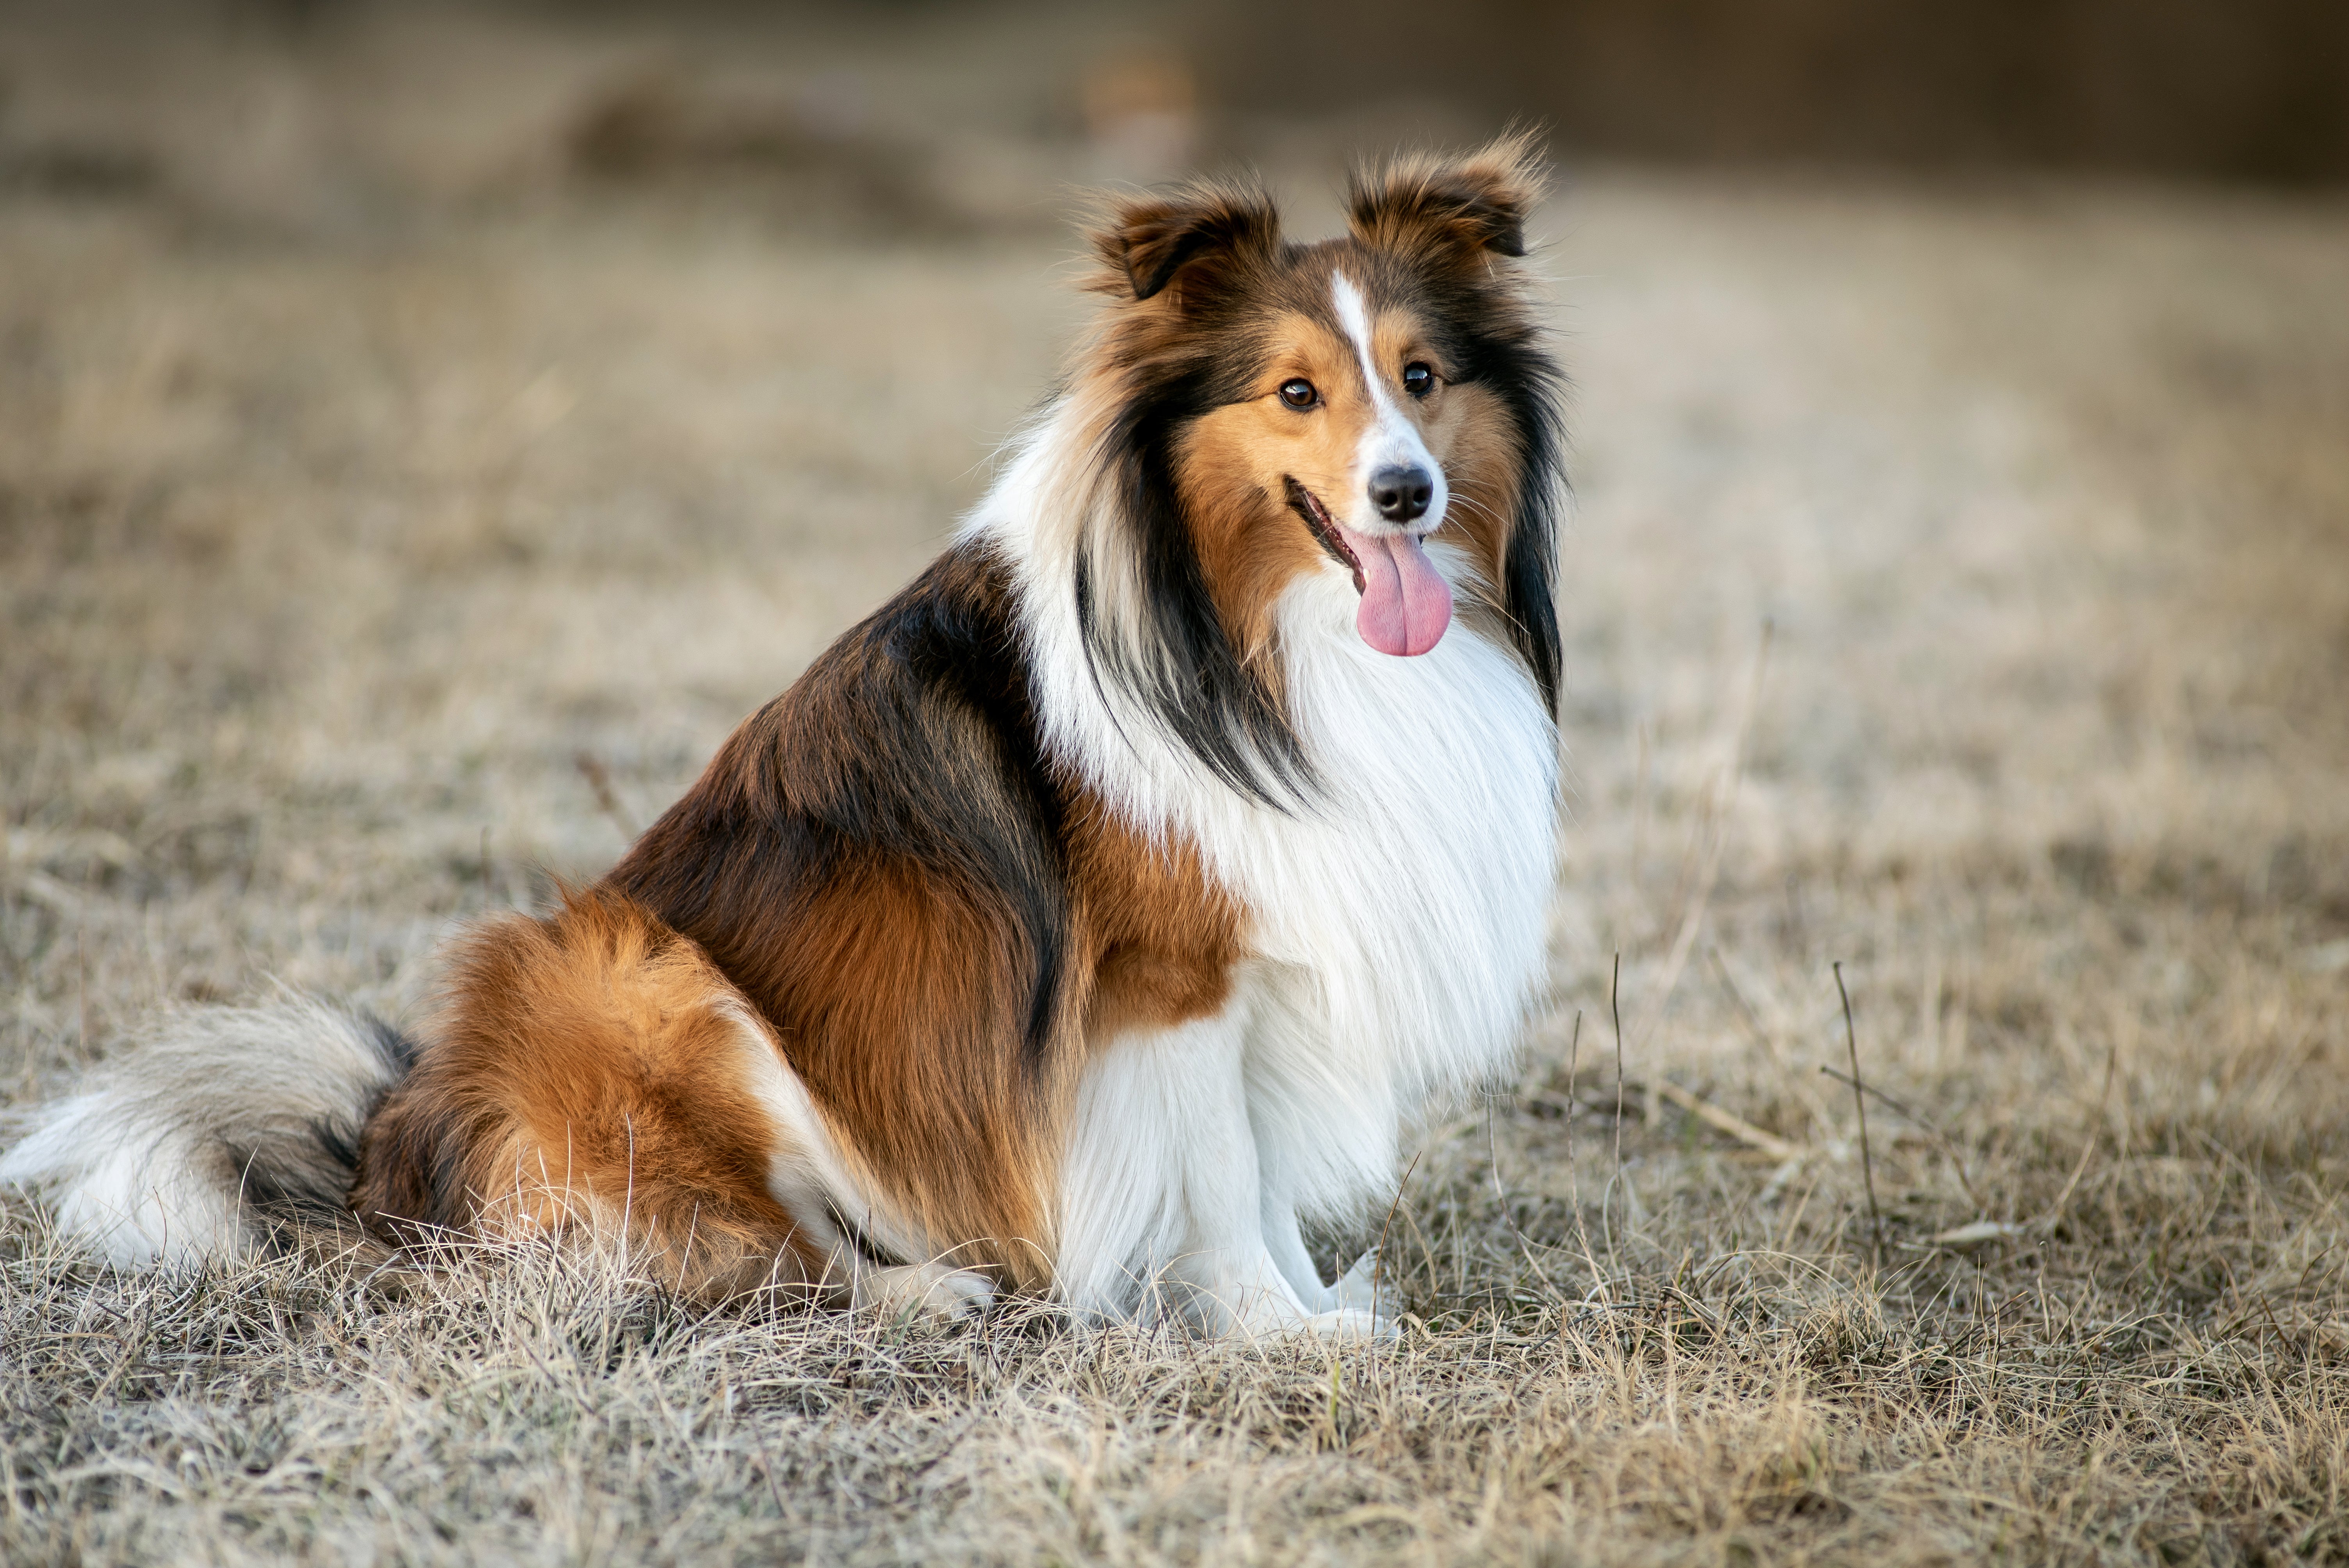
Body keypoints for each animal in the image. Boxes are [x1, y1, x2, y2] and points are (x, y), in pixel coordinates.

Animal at [14, 138, 1578, 1333]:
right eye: (1294, 391)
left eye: (1421, 377)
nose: (1405, 494)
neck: (1250, 631)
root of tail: (389, 1160)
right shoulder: (1165, 982)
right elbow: (1221, 1181)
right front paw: (1271, 1331)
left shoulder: (1261, 961)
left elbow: (1252, 1174)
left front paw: (1313, 1306)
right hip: (640, 978)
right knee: (748, 1260)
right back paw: (925, 1295)